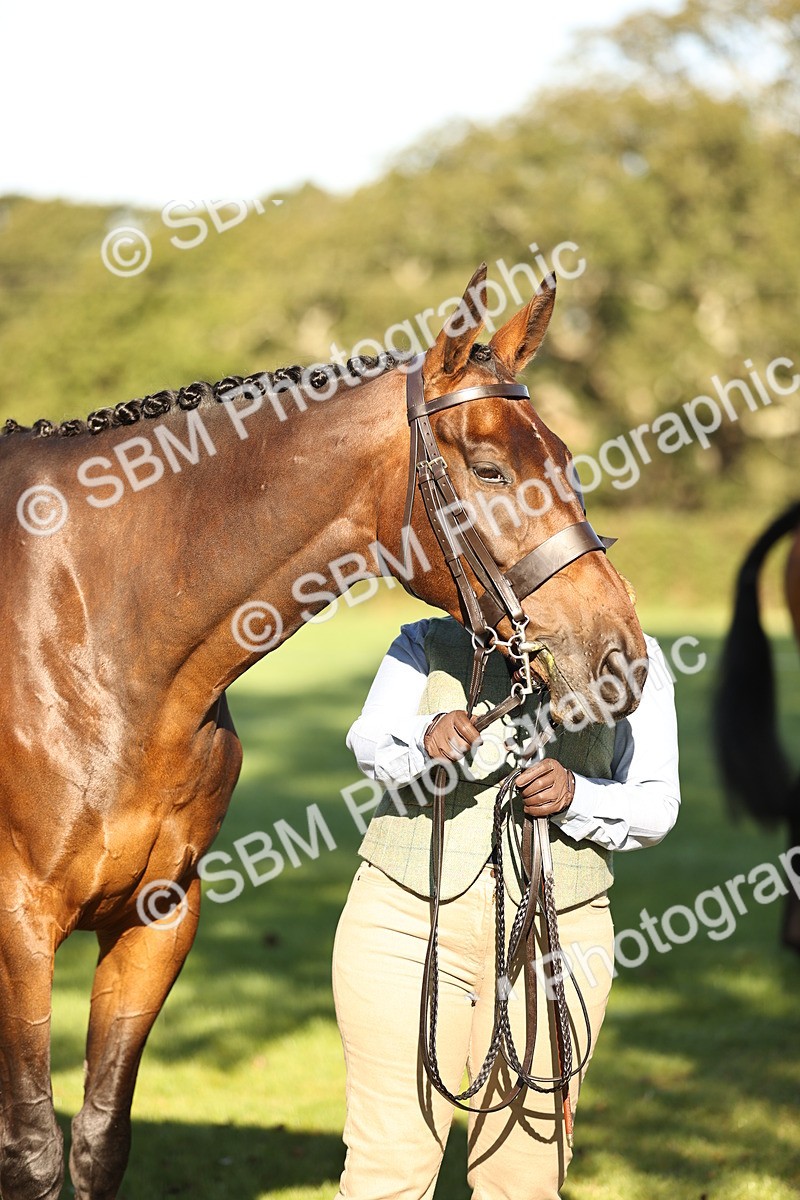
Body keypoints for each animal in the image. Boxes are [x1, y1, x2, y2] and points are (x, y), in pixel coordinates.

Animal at [0, 263, 646, 1200]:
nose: (621, 654)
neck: (96, 631)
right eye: (490, 469)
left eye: (564, 458)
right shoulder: (19, 930)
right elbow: (32, 1152)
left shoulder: (157, 918)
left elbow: (96, 1140)